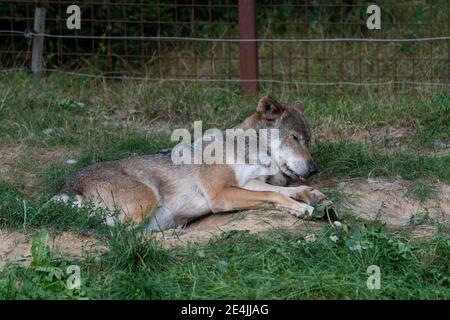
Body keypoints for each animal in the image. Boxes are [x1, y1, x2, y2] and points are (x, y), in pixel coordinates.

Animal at [54, 95, 328, 230]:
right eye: (294, 138)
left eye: (308, 140)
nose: (314, 169)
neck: (247, 150)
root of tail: (68, 187)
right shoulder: (220, 194)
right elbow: (276, 194)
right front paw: (302, 207)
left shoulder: (249, 182)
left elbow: (281, 191)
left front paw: (309, 194)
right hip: (148, 196)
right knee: (117, 233)